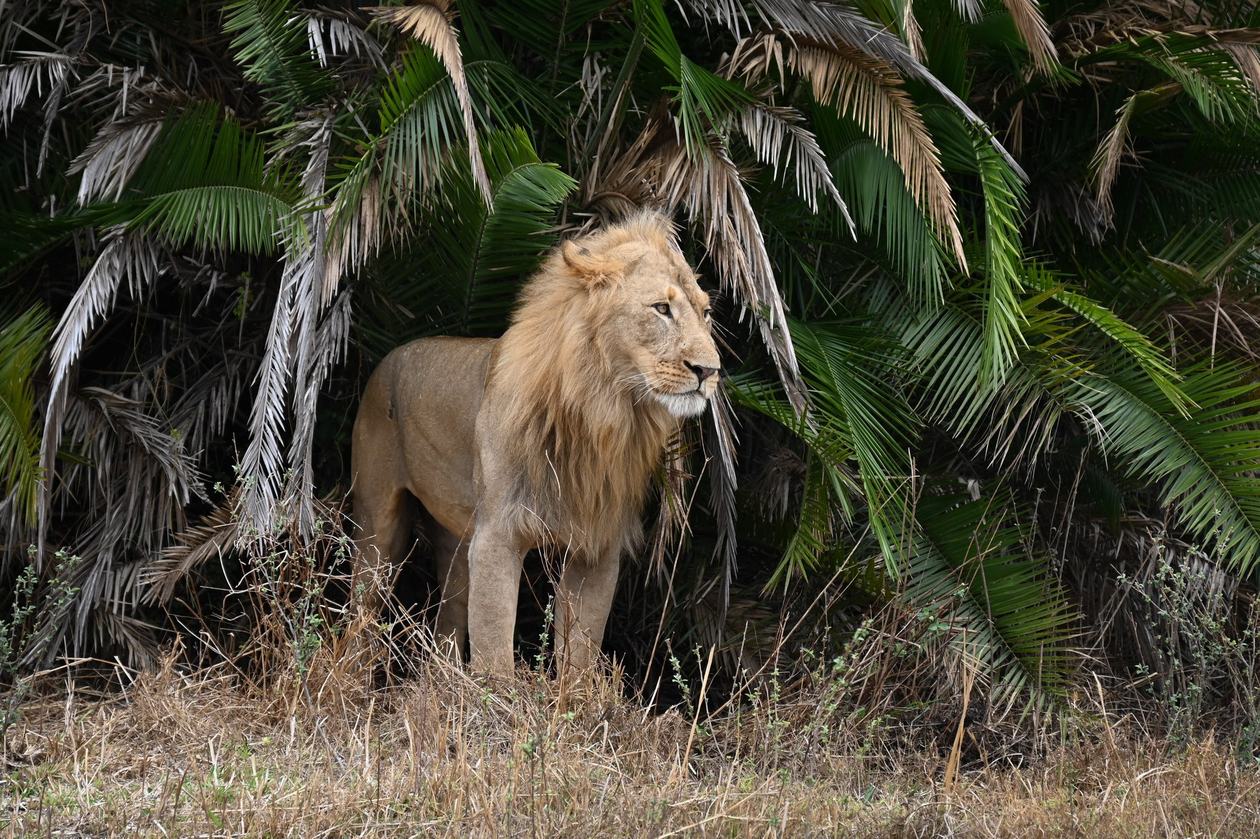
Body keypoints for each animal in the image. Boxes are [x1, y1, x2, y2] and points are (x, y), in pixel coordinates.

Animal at [350, 211, 720, 675]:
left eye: (705, 313)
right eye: (661, 308)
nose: (710, 371)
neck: (603, 411)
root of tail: (391, 355)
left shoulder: (597, 546)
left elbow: (580, 653)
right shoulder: (498, 535)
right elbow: (494, 655)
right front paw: (497, 695)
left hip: (456, 535)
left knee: (449, 620)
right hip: (377, 526)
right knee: (360, 612)